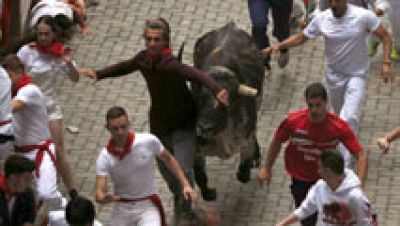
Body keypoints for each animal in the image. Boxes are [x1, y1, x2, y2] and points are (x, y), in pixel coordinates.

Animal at [191, 21, 266, 198]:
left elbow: (244, 170)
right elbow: (200, 176)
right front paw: (209, 193)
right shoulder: (196, 150)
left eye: (227, 103)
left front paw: (248, 166)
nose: (204, 128)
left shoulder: (246, 138)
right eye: (199, 98)